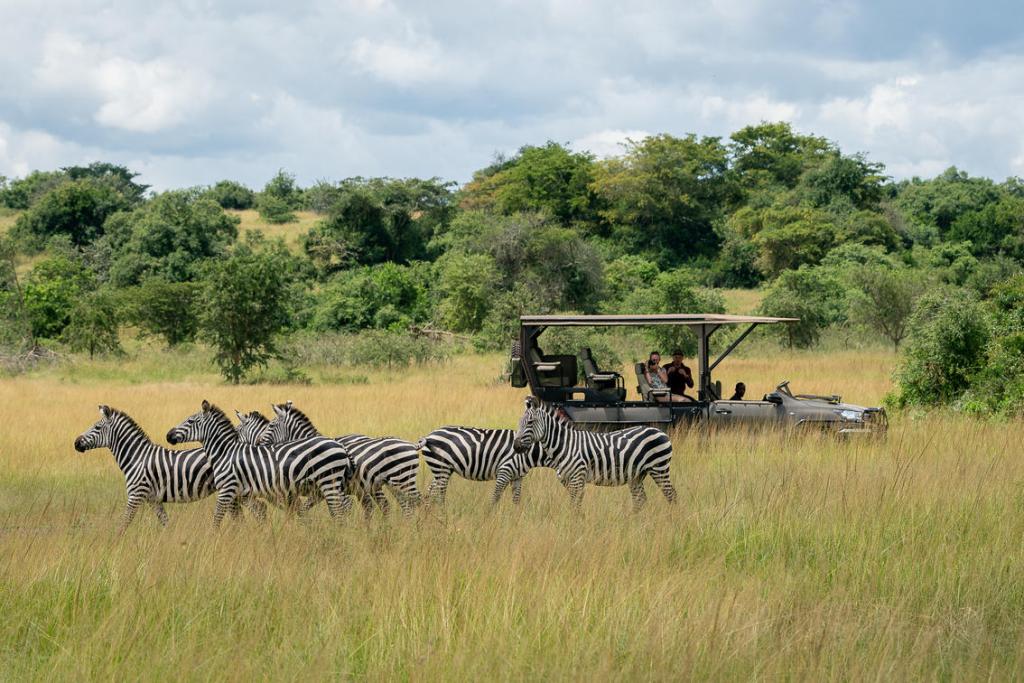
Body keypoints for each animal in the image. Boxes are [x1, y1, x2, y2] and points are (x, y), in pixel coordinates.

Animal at [71, 405, 264, 532]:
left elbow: (123, 523)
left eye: (97, 427)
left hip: (236, 490)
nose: (76, 443)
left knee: (257, 510)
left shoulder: (135, 495)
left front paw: (115, 545)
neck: (137, 457)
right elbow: (165, 523)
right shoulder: (153, 499)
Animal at [168, 397, 356, 528]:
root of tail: (340, 446)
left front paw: (214, 540)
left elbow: (217, 518)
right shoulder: (245, 493)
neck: (225, 452)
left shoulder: (227, 489)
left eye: (191, 421)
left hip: (329, 482)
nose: (168, 435)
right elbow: (258, 514)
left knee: (340, 511)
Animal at [256, 401, 423, 518]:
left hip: (403, 480)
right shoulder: (320, 492)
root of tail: (412, 445)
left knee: (420, 502)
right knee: (401, 507)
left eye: (271, 425)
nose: (257, 442)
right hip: (392, 484)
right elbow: (305, 509)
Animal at [415, 423, 548, 505]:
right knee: (439, 495)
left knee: (431, 492)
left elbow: (516, 499)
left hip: (441, 469)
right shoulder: (505, 471)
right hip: (441, 468)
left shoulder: (517, 477)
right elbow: (495, 498)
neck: (529, 452)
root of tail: (428, 436)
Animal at [512, 395, 679, 511]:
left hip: (659, 468)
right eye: (519, 422)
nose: (516, 446)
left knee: (671, 495)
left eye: (530, 422)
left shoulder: (577, 478)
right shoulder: (568, 480)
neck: (565, 445)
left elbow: (575, 506)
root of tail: (659, 431)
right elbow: (575, 505)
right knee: (641, 500)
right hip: (637, 475)